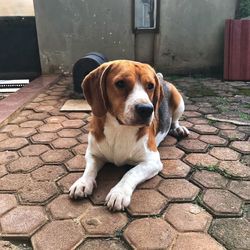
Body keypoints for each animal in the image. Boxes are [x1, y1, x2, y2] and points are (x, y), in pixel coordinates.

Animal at [69, 59, 188, 210]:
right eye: (120, 83)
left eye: (150, 86)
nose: (146, 109)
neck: (120, 128)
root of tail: (162, 78)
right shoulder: (92, 154)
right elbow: (89, 169)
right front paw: (83, 182)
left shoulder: (152, 161)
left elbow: (130, 172)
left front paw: (119, 192)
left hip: (180, 103)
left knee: (175, 120)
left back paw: (178, 129)